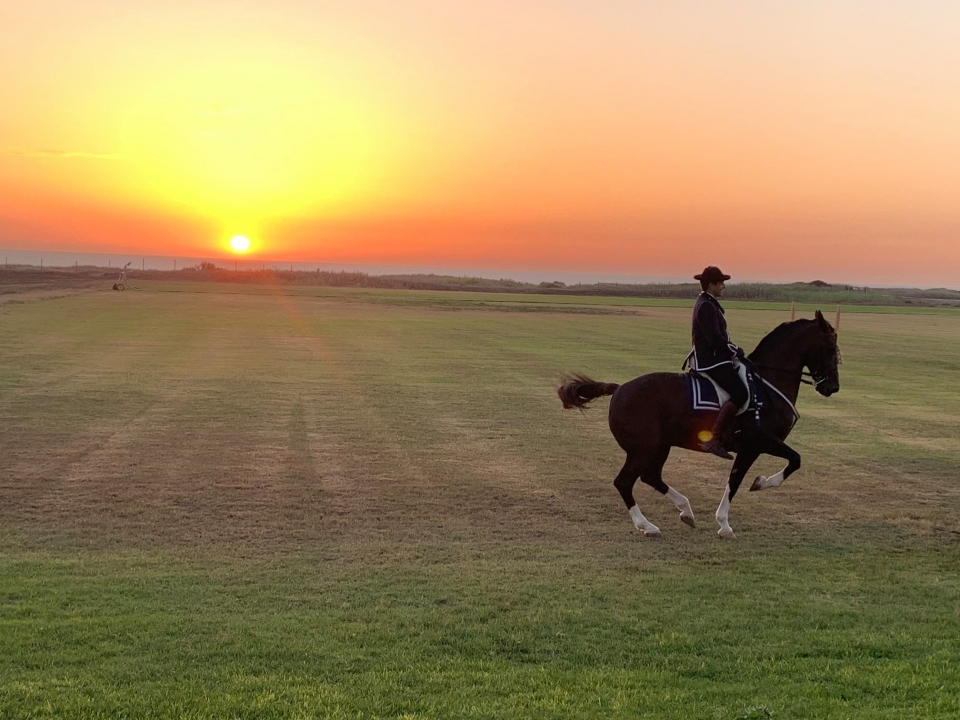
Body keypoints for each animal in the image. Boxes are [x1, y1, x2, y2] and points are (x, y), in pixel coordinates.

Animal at [557, 311, 841, 539]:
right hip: (643, 449)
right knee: (625, 482)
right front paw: (739, 508)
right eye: (830, 348)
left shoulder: (754, 447)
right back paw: (647, 526)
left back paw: (686, 511)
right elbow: (779, 466)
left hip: (660, 446)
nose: (832, 387)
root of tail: (619, 389)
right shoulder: (757, 444)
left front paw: (744, 499)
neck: (767, 384)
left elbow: (750, 475)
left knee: (651, 476)